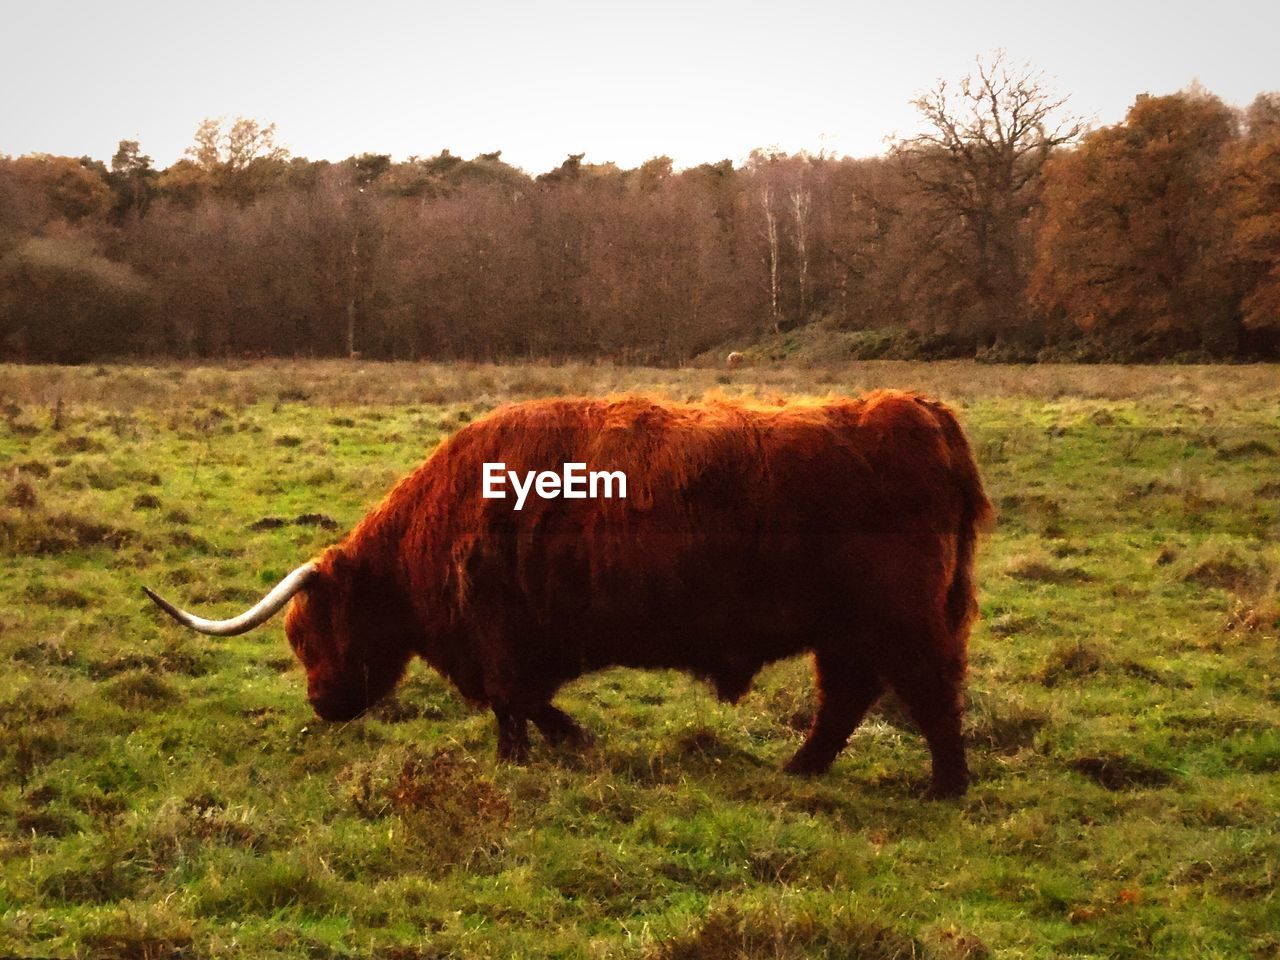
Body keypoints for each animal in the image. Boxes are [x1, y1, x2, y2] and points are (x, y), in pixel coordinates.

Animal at [147, 389, 988, 798]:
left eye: (308, 632)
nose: (322, 705)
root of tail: (919, 410)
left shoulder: (500, 635)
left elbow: (512, 700)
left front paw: (534, 754)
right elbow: (526, 700)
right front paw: (563, 744)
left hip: (902, 619)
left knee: (928, 690)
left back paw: (944, 787)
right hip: (848, 627)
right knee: (849, 696)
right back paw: (802, 770)